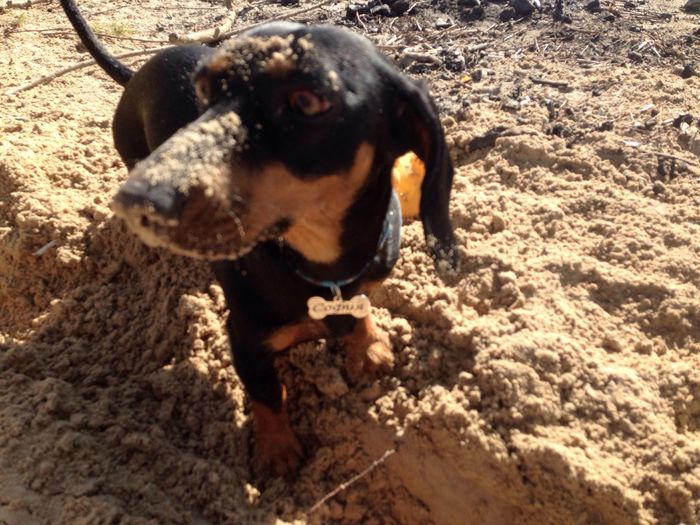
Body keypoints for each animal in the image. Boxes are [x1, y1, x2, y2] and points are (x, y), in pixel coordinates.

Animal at [61, 0, 460, 474]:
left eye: (306, 101)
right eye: (205, 92)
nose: (136, 199)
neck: (324, 270)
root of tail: (141, 68)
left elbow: (361, 308)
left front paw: (368, 347)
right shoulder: (245, 338)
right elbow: (267, 394)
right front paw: (277, 448)